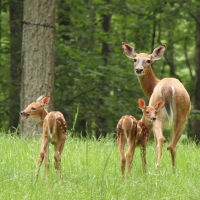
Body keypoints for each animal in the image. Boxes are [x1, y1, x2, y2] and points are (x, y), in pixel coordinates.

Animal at [122, 42, 191, 170]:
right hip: (180, 116)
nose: (139, 69)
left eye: (148, 60)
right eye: (135, 59)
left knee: (162, 140)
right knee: (170, 144)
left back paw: (158, 168)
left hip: (158, 114)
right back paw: (172, 170)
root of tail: (167, 88)